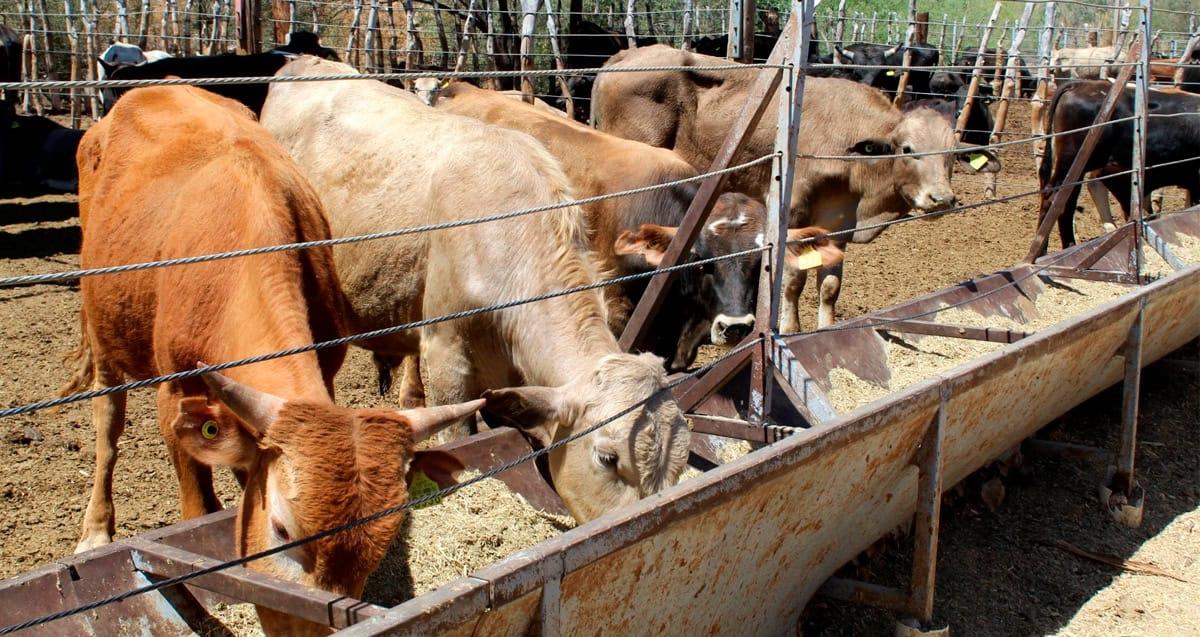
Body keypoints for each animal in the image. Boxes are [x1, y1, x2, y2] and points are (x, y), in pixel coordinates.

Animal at [69, 83, 482, 633]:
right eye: (283, 530)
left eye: (383, 543)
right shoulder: (175, 394)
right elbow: (197, 501)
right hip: (103, 331)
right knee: (107, 425)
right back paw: (95, 528)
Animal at [595, 44, 998, 331]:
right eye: (909, 149)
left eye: (952, 154)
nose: (941, 198)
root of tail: (626, 55)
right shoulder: (791, 214)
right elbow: (792, 281)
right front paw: (788, 327)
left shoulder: (838, 226)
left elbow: (830, 286)